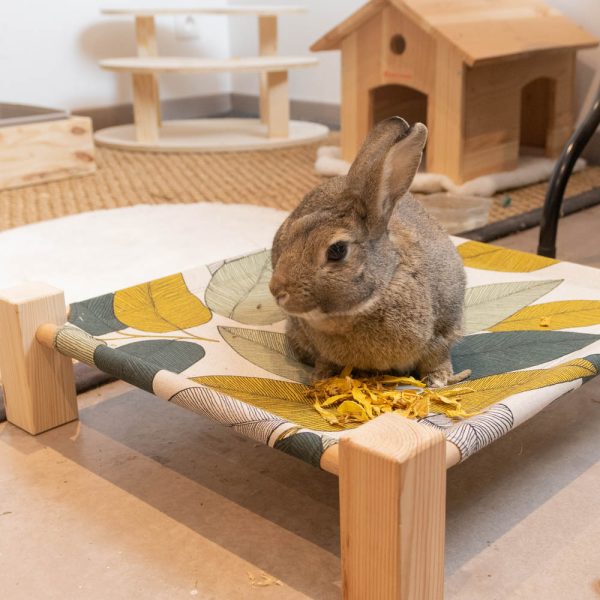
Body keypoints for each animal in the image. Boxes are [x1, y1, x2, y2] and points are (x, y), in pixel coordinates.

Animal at [270, 118, 472, 390]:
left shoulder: (441, 332)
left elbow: (437, 357)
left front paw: (438, 380)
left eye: (337, 250)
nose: (277, 290)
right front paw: (320, 379)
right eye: (294, 231)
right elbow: (324, 360)